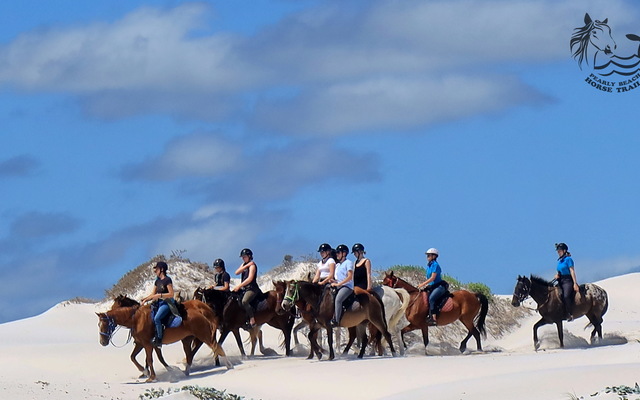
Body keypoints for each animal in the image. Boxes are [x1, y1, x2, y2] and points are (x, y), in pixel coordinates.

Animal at [97, 298, 232, 382]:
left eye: (105, 325)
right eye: (99, 325)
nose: (103, 342)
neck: (136, 319)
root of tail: (199, 311)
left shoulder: (148, 345)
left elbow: (150, 360)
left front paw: (151, 376)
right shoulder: (142, 344)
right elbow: (134, 357)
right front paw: (146, 372)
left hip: (204, 335)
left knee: (217, 347)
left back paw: (229, 366)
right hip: (187, 340)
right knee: (190, 355)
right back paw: (185, 373)